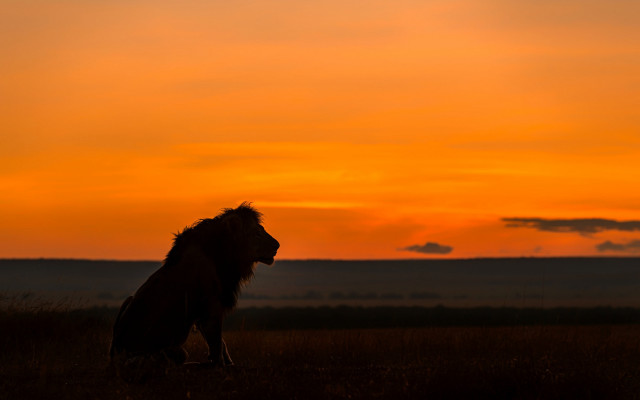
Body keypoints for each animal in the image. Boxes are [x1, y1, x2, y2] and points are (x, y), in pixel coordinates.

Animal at [109, 203, 279, 380]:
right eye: (256, 233)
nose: (277, 245)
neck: (224, 254)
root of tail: (115, 359)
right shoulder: (212, 308)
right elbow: (217, 346)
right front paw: (225, 368)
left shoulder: (202, 315)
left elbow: (221, 344)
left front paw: (228, 363)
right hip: (172, 351)